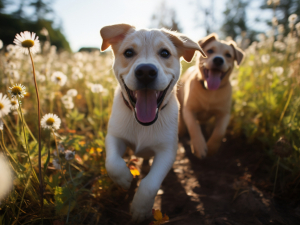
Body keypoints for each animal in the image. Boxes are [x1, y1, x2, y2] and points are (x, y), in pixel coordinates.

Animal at [99, 23, 205, 222]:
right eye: (129, 52)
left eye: (164, 53)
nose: (146, 72)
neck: (142, 124)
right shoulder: (114, 137)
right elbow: (113, 162)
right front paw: (125, 179)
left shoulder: (167, 152)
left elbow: (150, 183)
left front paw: (141, 210)